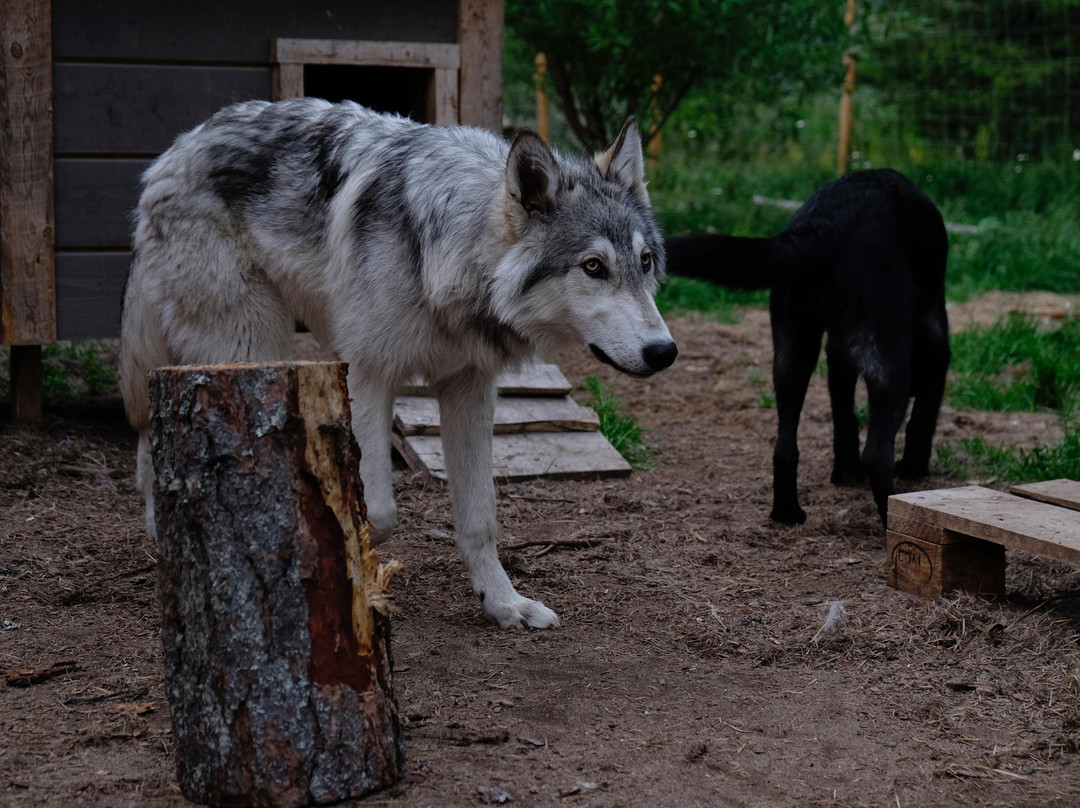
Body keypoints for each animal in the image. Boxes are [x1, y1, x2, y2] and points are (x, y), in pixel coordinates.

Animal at [120, 97, 673, 626]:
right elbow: (379, 511)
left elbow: (480, 518)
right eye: (593, 267)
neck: (452, 251)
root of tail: (175, 150)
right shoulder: (368, 375)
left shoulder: (470, 389)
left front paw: (503, 604)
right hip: (254, 344)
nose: (664, 352)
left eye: (645, 262)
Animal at [660, 167, 950, 527]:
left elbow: (843, 417)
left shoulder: (837, 355)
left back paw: (787, 513)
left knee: (785, 448)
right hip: (888, 366)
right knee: (876, 452)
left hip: (792, 353)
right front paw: (913, 467)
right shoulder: (935, 341)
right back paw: (890, 520)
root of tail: (830, 220)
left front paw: (845, 473)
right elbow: (923, 416)